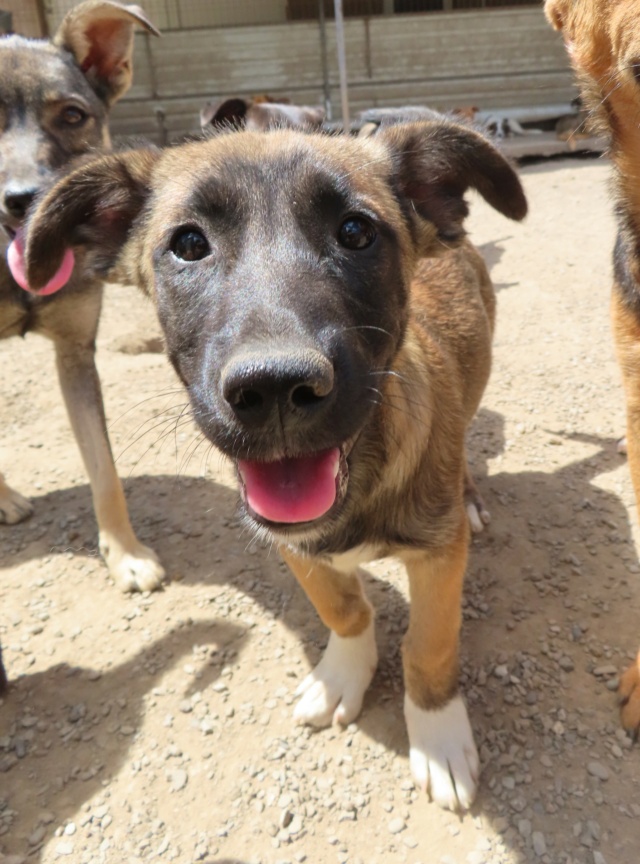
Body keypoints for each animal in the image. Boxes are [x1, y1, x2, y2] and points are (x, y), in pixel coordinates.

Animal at [22, 116, 528, 808]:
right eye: (188, 244)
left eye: (356, 232)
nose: (276, 389)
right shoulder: (292, 542)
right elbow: (343, 609)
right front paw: (344, 674)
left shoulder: (438, 556)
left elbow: (429, 644)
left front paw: (437, 735)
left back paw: (470, 495)